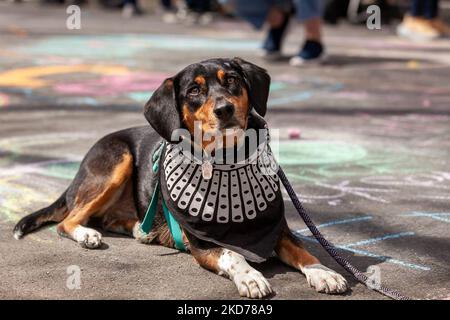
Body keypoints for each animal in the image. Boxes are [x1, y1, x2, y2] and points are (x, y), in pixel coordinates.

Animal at [12, 57, 346, 298]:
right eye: (194, 91)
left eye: (232, 80)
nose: (224, 109)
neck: (228, 162)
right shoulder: (203, 244)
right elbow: (232, 255)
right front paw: (251, 276)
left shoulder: (278, 231)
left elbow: (304, 251)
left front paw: (323, 272)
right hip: (118, 160)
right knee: (67, 221)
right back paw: (87, 235)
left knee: (106, 218)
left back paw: (139, 229)